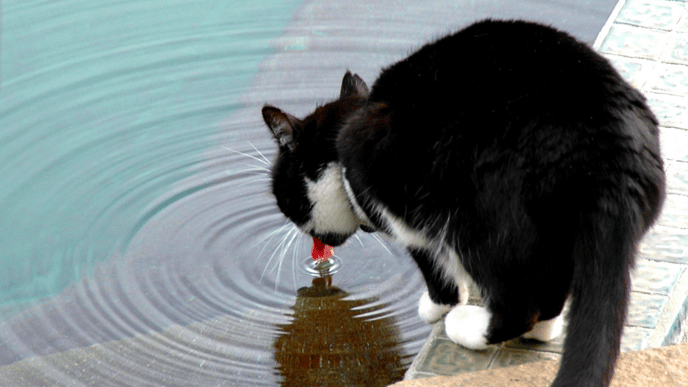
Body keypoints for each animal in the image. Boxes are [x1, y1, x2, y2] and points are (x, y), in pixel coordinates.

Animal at [260, 19, 664, 386]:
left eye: (286, 200)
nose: (313, 246)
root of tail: (609, 156)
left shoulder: (399, 209)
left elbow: (431, 263)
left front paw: (438, 307)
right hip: (556, 234)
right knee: (548, 294)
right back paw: (542, 329)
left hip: (476, 214)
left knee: (517, 305)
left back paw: (466, 328)